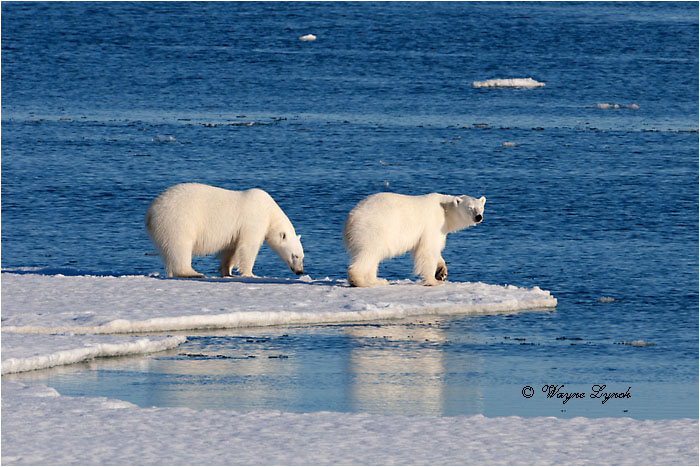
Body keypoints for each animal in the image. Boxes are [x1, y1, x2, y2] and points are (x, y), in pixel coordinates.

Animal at [145, 183, 304, 278]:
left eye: (302, 256)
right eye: (294, 255)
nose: (299, 271)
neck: (269, 211)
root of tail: (150, 212)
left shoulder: (235, 232)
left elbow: (230, 250)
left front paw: (227, 272)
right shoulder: (253, 221)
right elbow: (248, 247)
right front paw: (250, 274)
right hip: (177, 221)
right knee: (181, 246)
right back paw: (193, 273)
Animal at [343, 192, 485, 287]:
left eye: (481, 207)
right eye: (470, 208)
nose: (479, 217)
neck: (445, 209)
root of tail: (351, 217)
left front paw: (441, 272)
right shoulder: (433, 223)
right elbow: (428, 249)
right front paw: (433, 281)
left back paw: (376, 280)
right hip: (373, 228)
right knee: (369, 252)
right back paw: (360, 281)